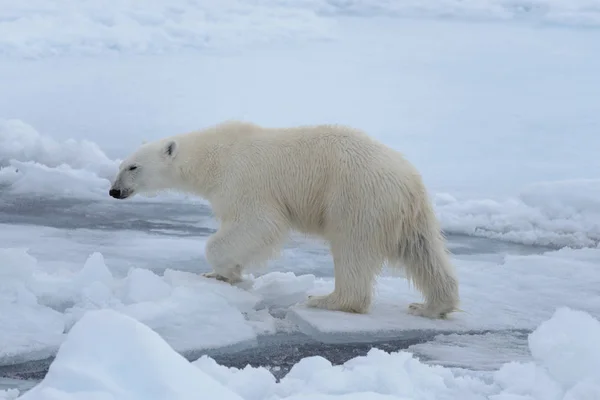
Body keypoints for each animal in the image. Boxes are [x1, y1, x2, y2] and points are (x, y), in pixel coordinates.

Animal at [109, 120, 460, 318]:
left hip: (356, 198)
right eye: (121, 165)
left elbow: (258, 223)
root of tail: (407, 180)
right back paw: (431, 306)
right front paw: (223, 274)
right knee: (424, 252)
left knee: (352, 248)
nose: (114, 191)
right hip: (409, 212)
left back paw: (327, 299)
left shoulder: (243, 180)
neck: (214, 155)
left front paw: (223, 270)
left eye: (133, 167)